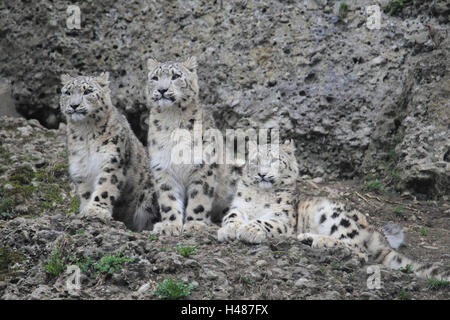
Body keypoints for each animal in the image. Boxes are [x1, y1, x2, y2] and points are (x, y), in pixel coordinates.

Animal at [143, 56, 236, 234]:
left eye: (175, 76)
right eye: (155, 78)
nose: (162, 90)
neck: (171, 118)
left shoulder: (203, 166)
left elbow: (199, 198)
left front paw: (195, 224)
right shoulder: (163, 167)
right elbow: (168, 198)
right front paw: (169, 225)